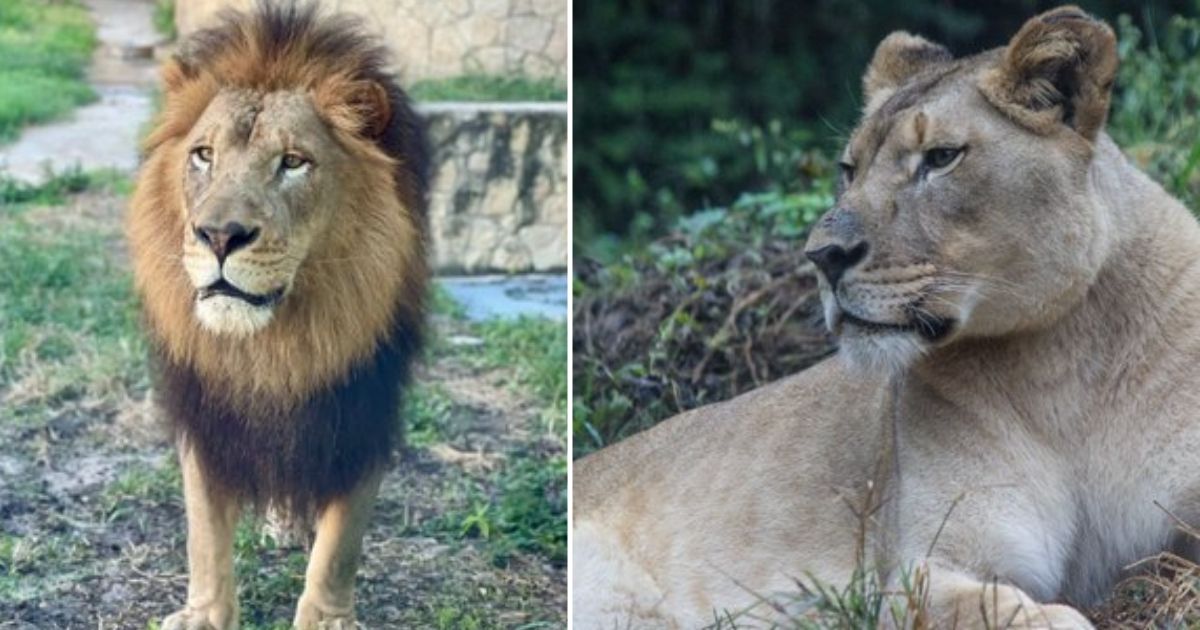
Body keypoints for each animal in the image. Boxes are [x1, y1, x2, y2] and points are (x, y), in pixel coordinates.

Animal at [125, 4, 428, 628]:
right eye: (204, 155)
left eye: (293, 162)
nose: (219, 236)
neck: (275, 344)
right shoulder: (204, 406)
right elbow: (204, 532)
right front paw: (204, 615)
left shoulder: (364, 403)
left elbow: (340, 545)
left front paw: (328, 619)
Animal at [573, 7, 1200, 629]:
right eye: (850, 169)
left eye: (941, 158)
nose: (823, 256)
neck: (1065, 370)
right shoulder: (920, 572)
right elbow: (1038, 616)